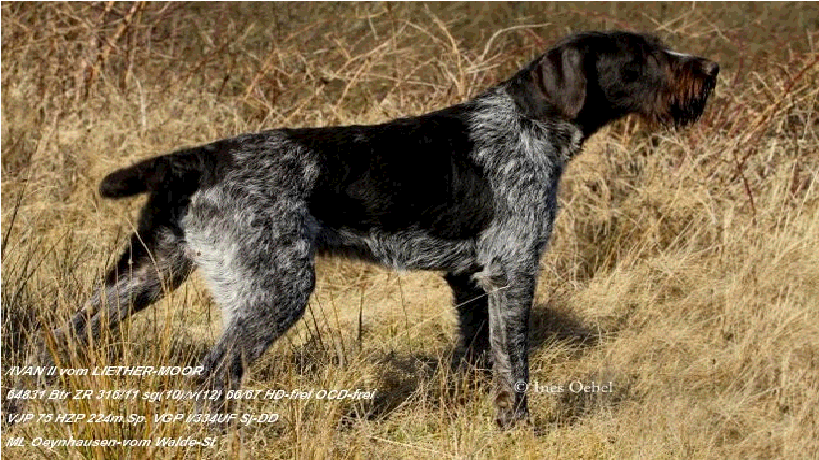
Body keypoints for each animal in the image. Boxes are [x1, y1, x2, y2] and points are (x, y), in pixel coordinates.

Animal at [35, 31, 720, 428]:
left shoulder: (469, 281)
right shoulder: (513, 271)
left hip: (146, 273)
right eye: (642, 58)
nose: (712, 68)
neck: (530, 124)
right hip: (275, 290)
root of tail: (199, 156)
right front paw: (517, 429)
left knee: (62, 336)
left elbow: (475, 356)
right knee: (212, 378)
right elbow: (514, 365)